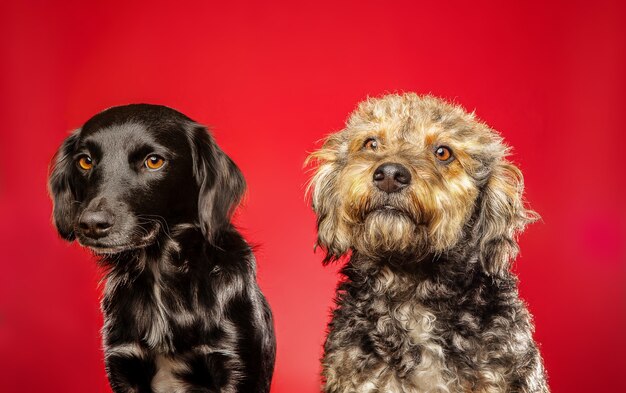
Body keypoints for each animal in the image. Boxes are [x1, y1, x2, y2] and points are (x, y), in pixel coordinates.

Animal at [48, 105, 272, 392]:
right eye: (85, 161)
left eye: (154, 161)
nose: (91, 224)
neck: (159, 276)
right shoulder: (124, 363)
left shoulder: (236, 366)